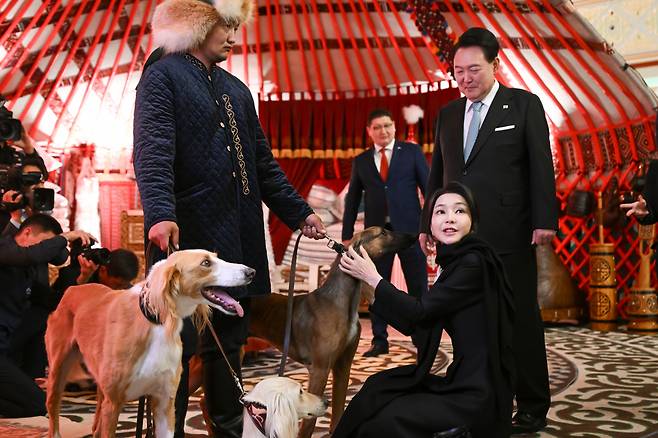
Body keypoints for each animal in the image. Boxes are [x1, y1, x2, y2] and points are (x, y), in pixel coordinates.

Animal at [45, 250, 254, 438]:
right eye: (205, 263)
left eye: (217, 257)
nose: (251, 272)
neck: (156, 322)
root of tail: (76, 287)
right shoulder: (114, 403)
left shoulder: (164, 402)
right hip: (59, 370)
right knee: (53, 409)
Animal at [249, 228, 412, 436]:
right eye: (383, 233)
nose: (413, 236)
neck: (341, 301)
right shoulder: (320, 369)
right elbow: (309, 423)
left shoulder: (343, 365)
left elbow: (339, 410)